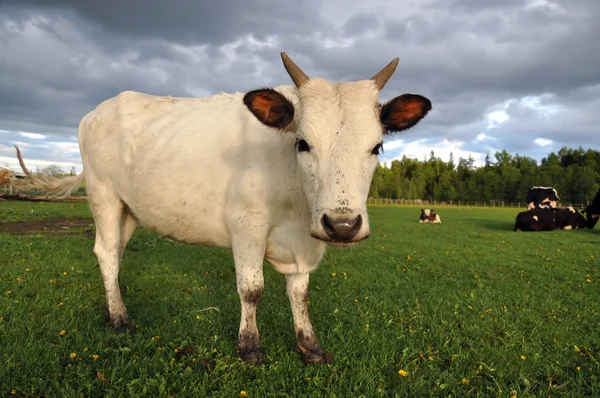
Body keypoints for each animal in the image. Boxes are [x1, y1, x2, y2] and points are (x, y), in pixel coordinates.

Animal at [14, 52, 432, 366]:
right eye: (302, 143)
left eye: (377, 146)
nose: (342, 225)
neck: (296, 209)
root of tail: (98, 110)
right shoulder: (247, 223)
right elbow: (251, 288)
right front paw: (250, 347)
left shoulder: (305, 241)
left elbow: (299, 292)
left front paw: (309, 345)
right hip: (105, 196)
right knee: (105, 252)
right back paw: (119, 318)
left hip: (129, 208)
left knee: (115, 251)